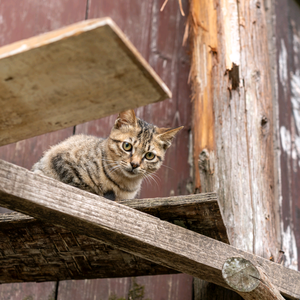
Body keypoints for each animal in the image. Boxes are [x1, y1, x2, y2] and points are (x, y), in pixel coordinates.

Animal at [32, 109, 183, 200]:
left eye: (149, 155)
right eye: (127, 146)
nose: (134, 164)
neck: (122, 184)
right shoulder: (61, 159)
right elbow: (78, 183)